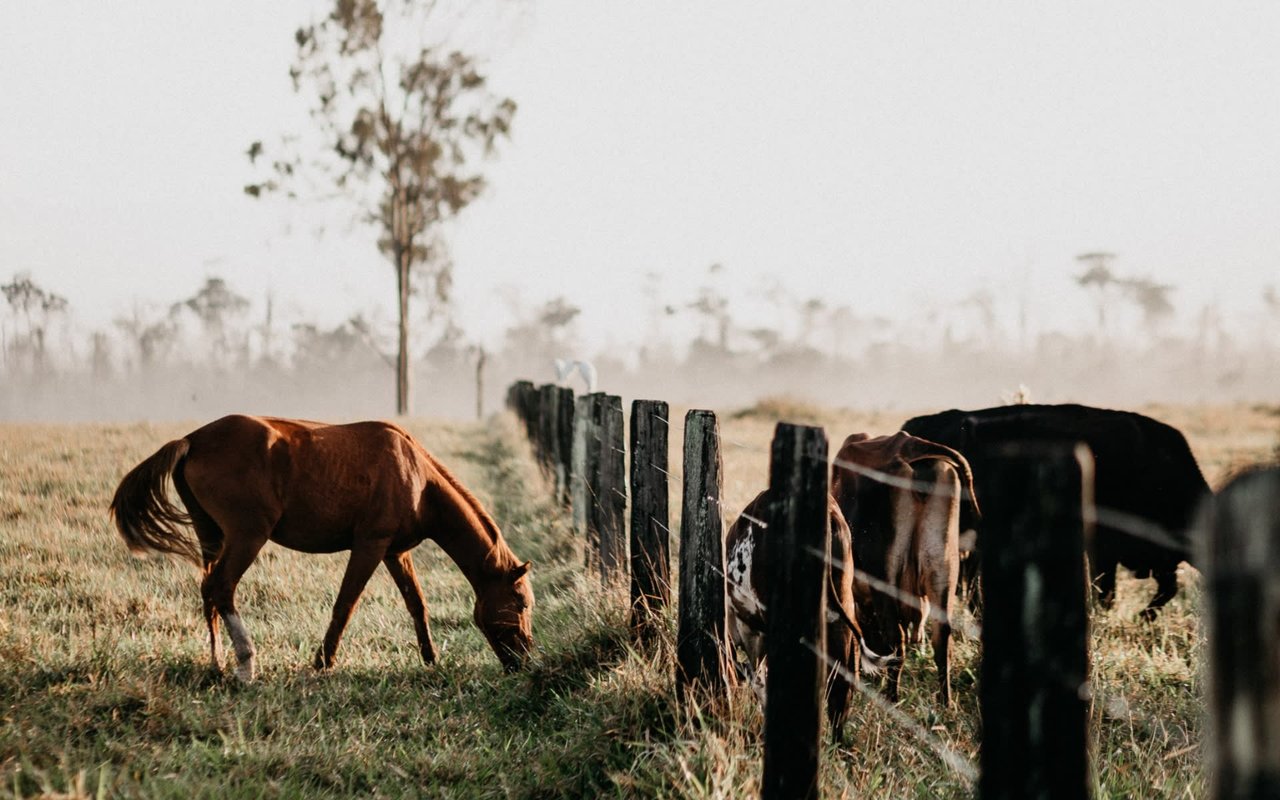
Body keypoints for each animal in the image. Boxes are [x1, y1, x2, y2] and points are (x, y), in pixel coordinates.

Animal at [104, 412, 535, 680]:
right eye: (522, 603)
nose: (526, 661)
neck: (417, 477)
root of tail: (192, 441)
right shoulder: (370, 546)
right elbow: (346, 604)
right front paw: (323, 661)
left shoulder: (395, 552)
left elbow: (416, 603)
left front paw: (430, 659)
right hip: (246, 537)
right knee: (222, 588)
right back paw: (246, 665)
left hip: (211, 535)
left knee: (208, 592)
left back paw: (218, 663)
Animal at [829, 430, 977, 706]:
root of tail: (910, 446)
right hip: (943, 570)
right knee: (942, 636)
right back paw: (945, 701)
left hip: (885, 576)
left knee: (897, 638)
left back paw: (892, 696)